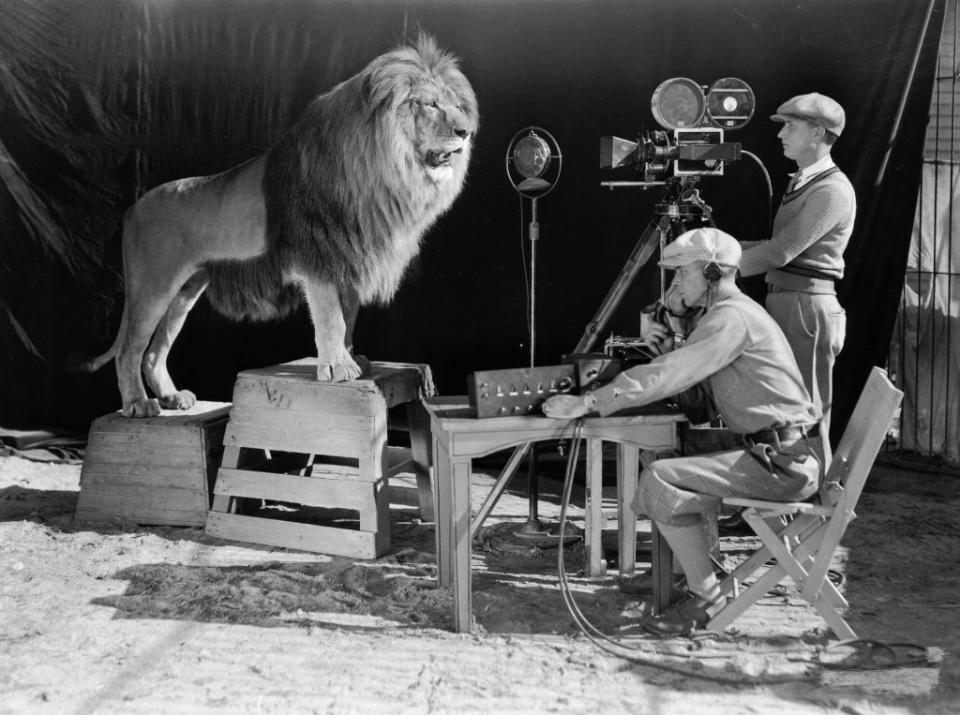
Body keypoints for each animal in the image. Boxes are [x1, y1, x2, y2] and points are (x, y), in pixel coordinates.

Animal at [79, 37, 476, 420]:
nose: (466, 131)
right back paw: (138, 405)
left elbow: (348, 316)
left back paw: (172, 398)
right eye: (430, 104)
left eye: (457, 105)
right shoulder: (317, 256)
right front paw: (338, 368)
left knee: (154, 352)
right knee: (129, 349)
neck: (379, 168)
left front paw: (350, 358)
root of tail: (132, 209)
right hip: (153, 286)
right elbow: (332, 317)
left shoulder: (346, 256)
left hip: (185, 291)